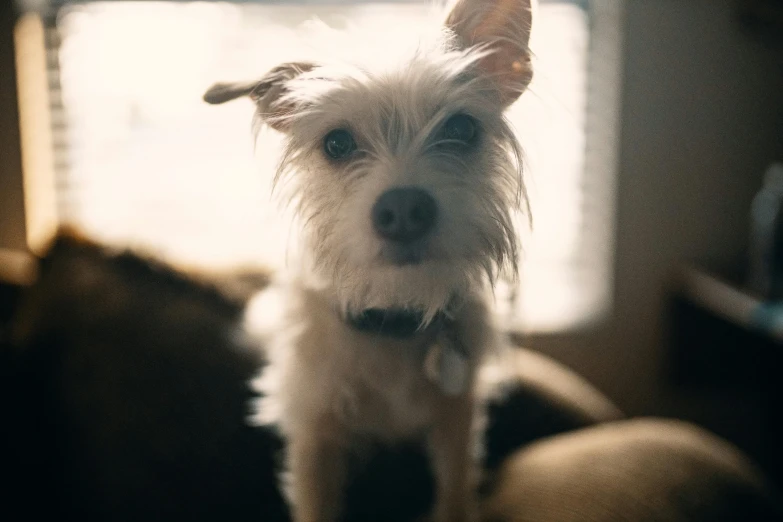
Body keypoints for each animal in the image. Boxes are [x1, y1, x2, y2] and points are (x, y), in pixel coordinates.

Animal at [202, 2, 536, 516]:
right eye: (336, 143)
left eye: (460, 129)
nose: (404, 211)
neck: (395, 313)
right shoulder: (314, 437)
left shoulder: (457, 420)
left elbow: (455, 491)